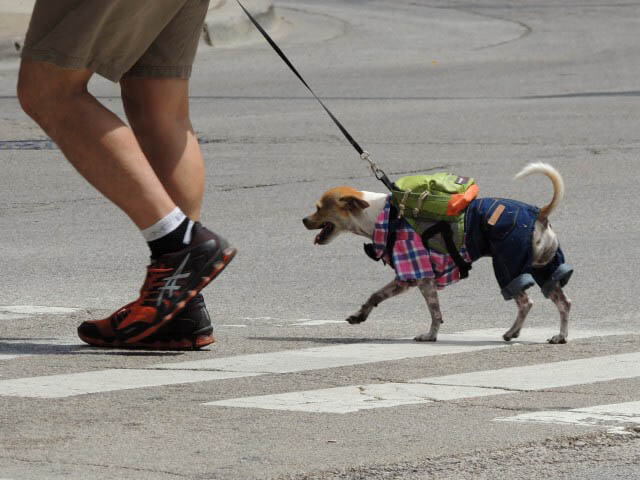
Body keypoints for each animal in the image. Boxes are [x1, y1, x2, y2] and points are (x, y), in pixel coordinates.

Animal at [302, 165, 572, 344]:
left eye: (318, 208)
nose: (304, 220)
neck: (380, 215)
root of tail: (540, 213)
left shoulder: (422, 275)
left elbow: (435, 312)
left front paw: (430, 335)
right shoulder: (406, 277)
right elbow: (375, 295)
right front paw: (360, 315)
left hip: (508, 265)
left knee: (526, 302)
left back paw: (513, 332)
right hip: (544, 267)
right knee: (563, 302)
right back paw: (560, 336)